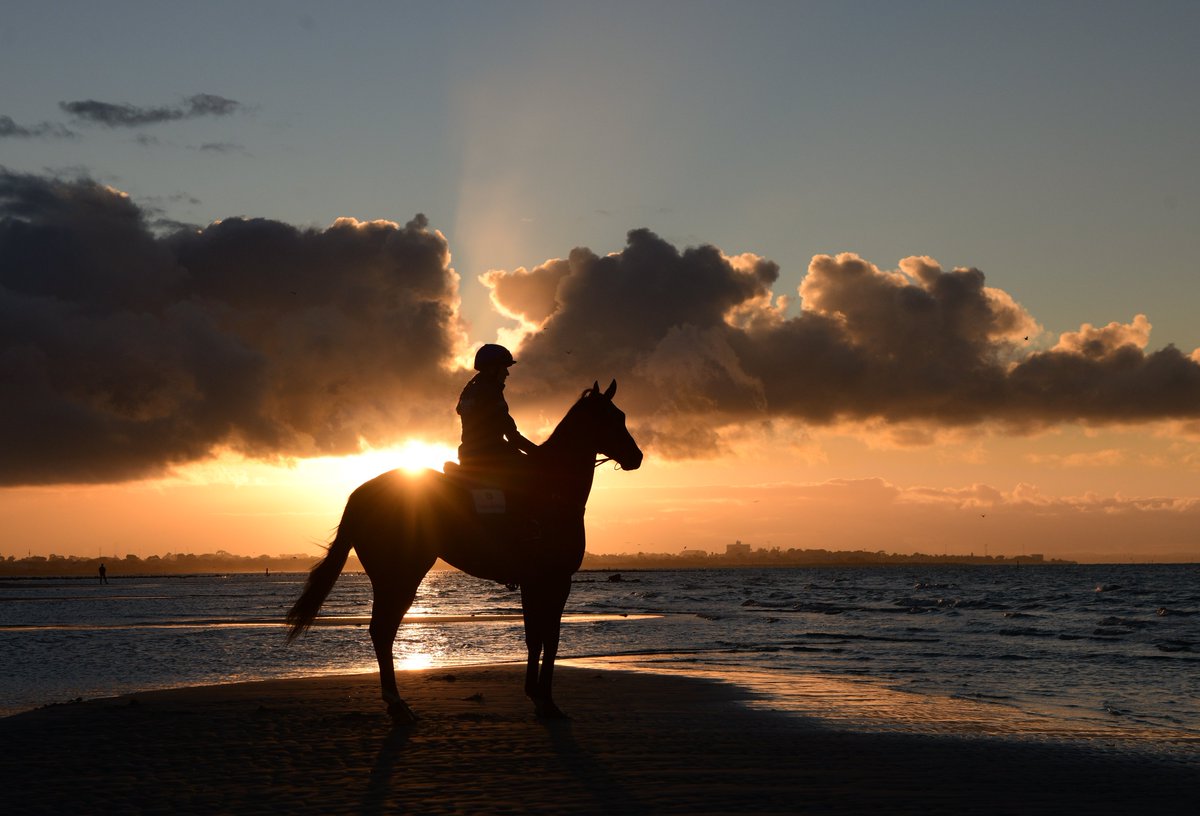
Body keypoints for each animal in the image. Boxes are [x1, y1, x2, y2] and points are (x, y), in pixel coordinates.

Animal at [285, 379, 643, 724]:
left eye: (622, 416)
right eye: (610, 419)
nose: (636, 457)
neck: (552, 491)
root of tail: (363, 493)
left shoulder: (537, 583)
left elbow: (536, 638)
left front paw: (537, 697)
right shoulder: (553, 580)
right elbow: (549, 639)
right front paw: (546, 702)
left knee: (381, 631)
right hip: (400, 577)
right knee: (382, 631)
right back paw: (398, 705)